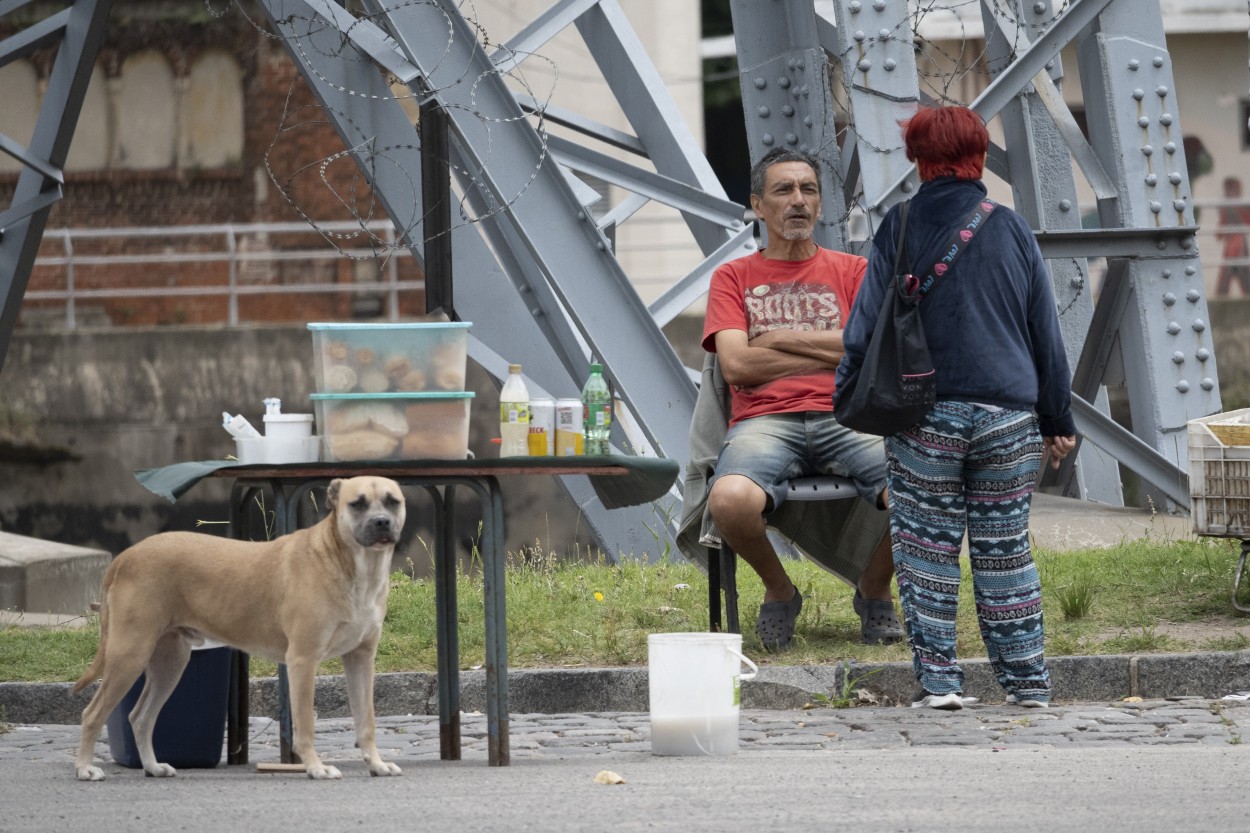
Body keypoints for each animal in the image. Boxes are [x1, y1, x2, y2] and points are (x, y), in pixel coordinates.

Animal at [74, 472, 405, 780]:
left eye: (392, 501)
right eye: (357, 504)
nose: (381, 522)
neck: (352, 565)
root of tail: (125, 556)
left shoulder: (361, 659)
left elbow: (366, 720)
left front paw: (376, 764)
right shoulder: (303, 660)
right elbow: (306, 724)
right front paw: (315, 767)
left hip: (170, 661)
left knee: (140, 717)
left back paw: (153, 767)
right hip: (129, 654)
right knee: (92, 713)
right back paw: (85, 768)